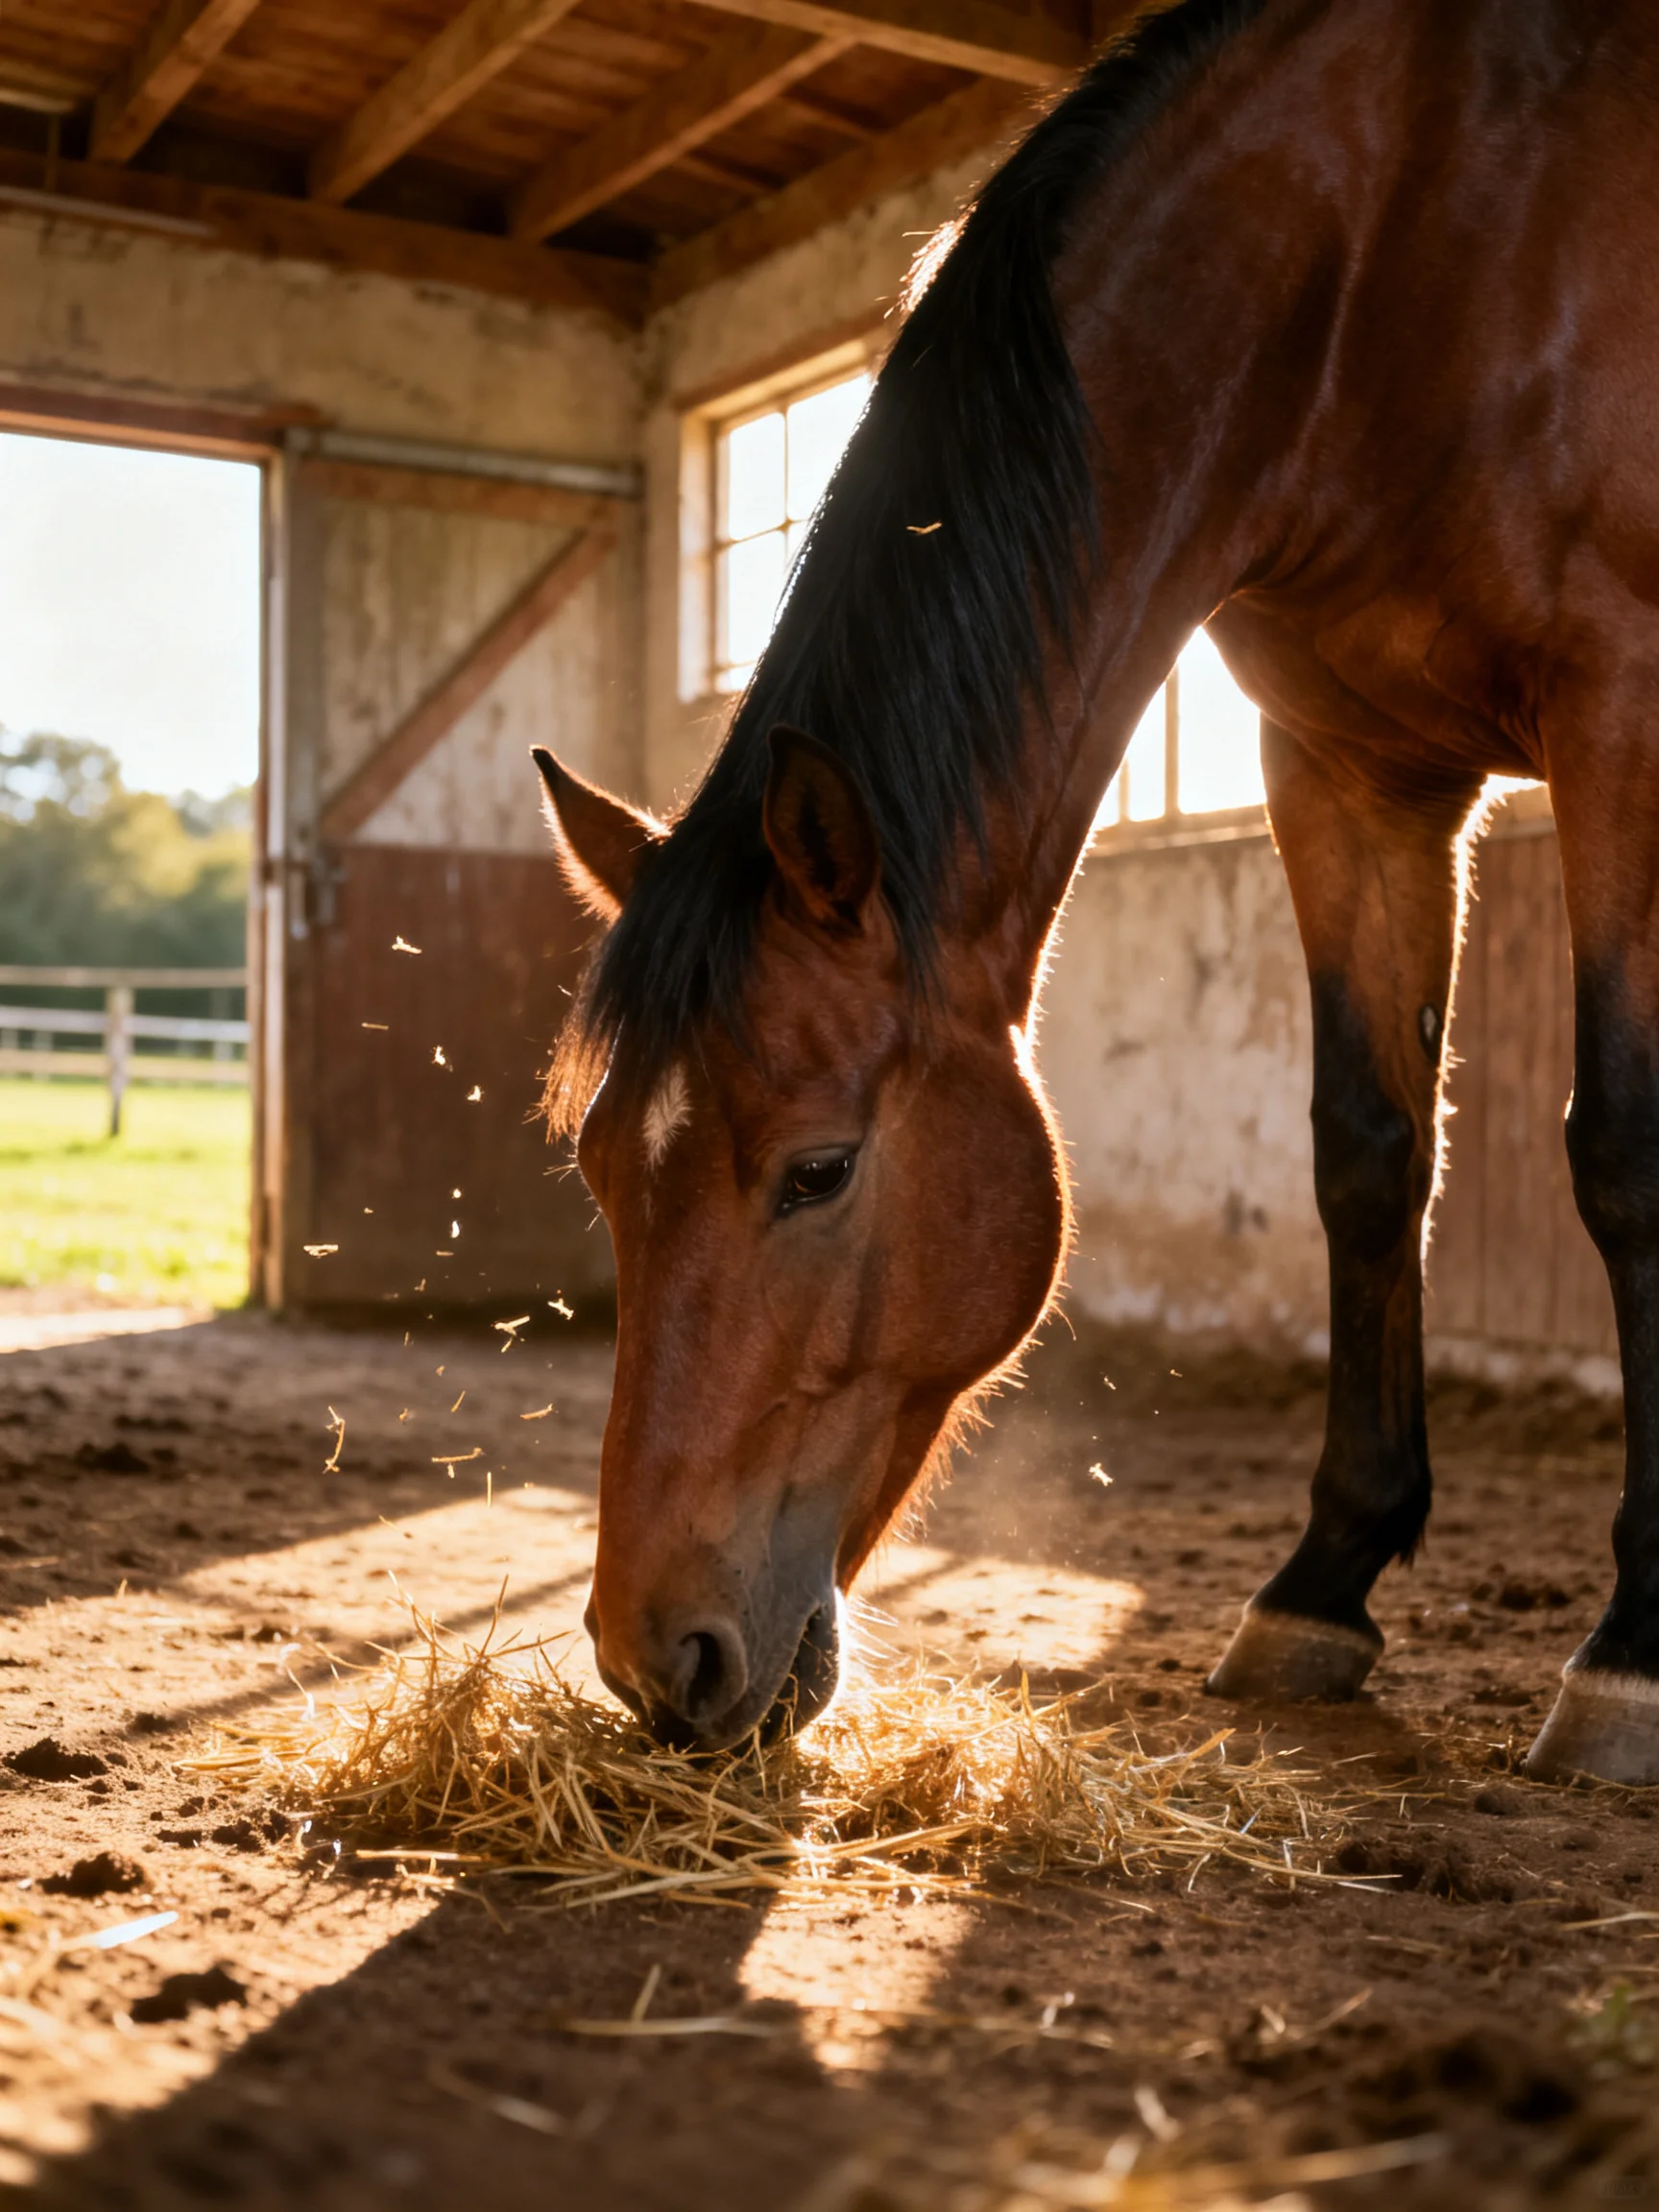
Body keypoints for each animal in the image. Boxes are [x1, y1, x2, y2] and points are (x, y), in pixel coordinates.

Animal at [532, 0, 1659, 1785]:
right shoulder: (1347, 769)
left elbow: (1620, 1153)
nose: (657, 1658)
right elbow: (1366, 1157)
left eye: (818, 1171)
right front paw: (1319, 1586)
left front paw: (1632, 1647)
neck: (1404, 235)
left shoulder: (1622, 707)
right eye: (597, 1168)